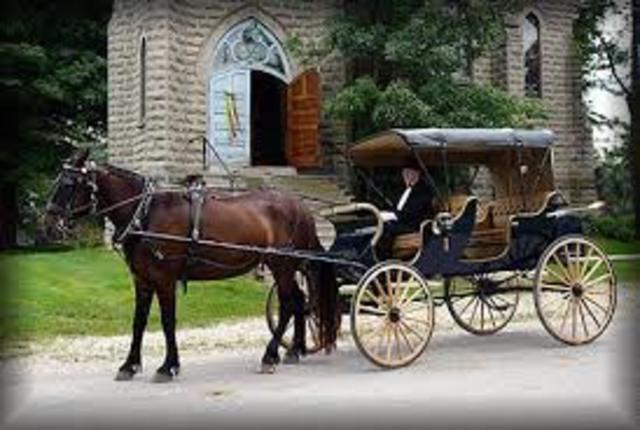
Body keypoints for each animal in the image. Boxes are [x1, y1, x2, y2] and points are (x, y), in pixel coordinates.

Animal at [44, 149, 339, 381]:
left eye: (69, 183)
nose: (47, 223)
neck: (145, 213)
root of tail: (300, 206)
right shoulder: (142, 279)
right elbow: (138, 322)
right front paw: (130, 365)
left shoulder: (164, 279)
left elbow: (167, 321)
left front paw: (168, 367)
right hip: (289, 266)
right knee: (300, 301)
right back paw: (294, 350)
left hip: (282, 265)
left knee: (289, 304)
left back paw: (269, 356)